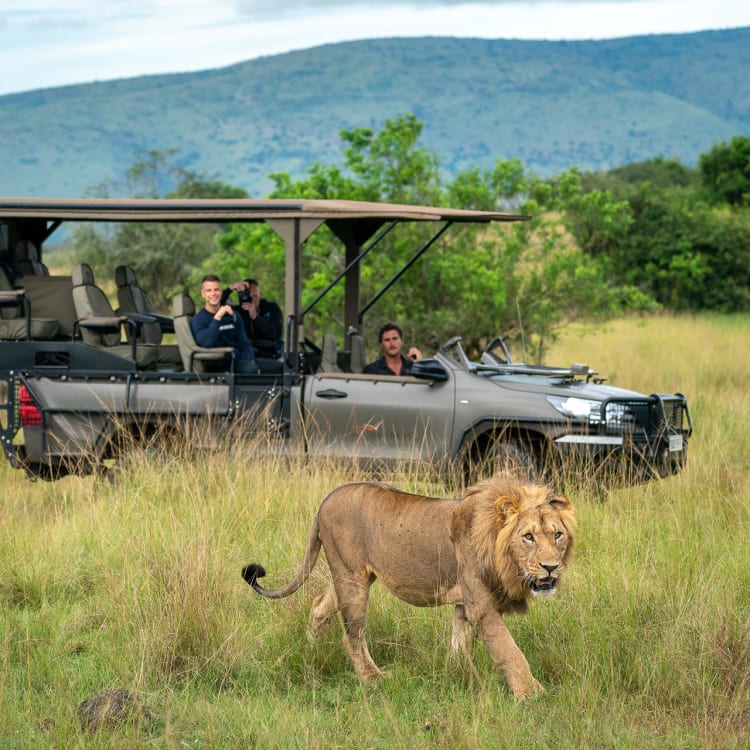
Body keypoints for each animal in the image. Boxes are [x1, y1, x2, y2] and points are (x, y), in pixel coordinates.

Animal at [241, 476, 576, 700]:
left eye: (557, 535)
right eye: (528, 537)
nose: (550, 567)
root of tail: (328, 497)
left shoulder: (464, 604)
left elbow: (459, 644)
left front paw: (458, 676)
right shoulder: (482, 606)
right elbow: (510, 651)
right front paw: (532, 693)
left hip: (348, 577)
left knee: (318, 606)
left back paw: (312, 650)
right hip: (351, 580)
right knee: (352, 635)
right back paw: (373, 679)